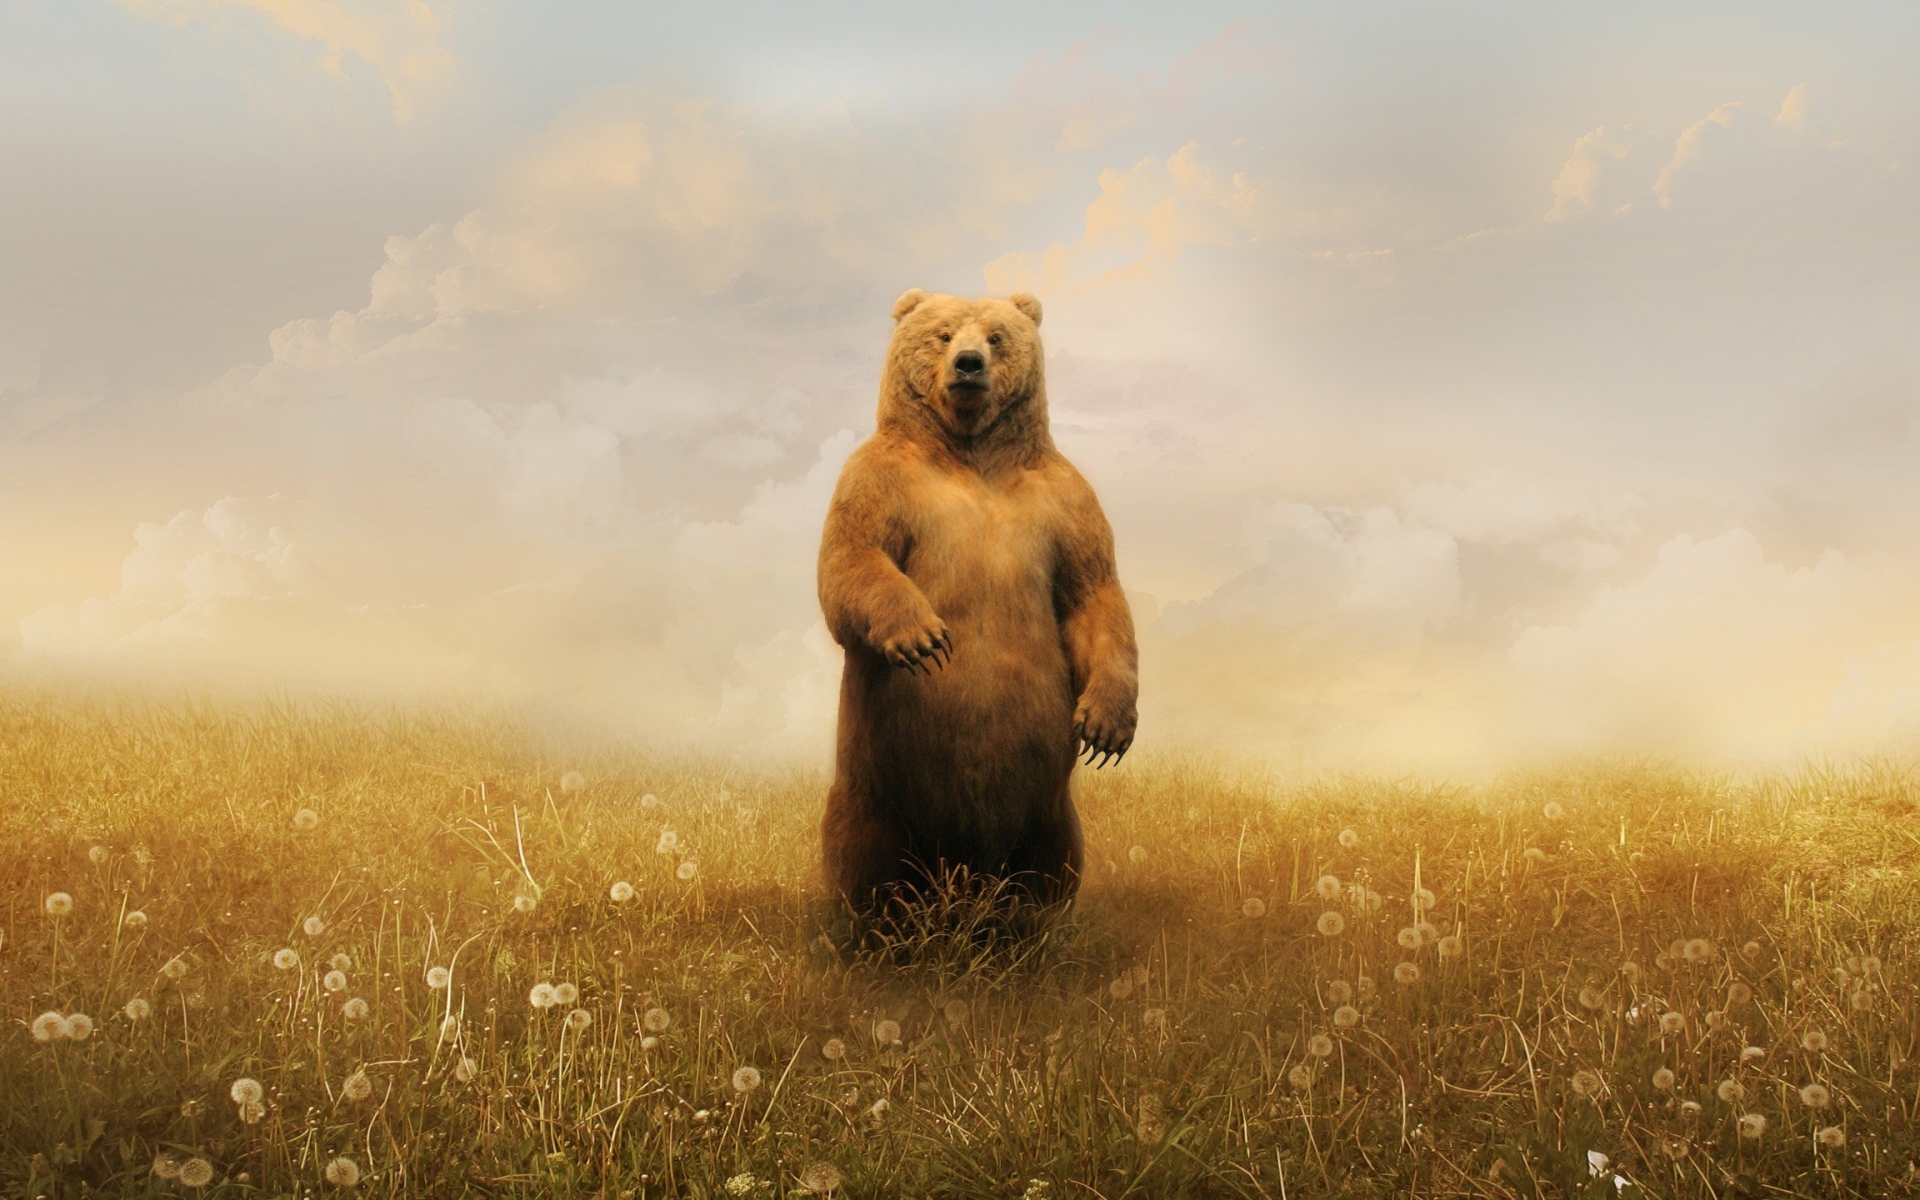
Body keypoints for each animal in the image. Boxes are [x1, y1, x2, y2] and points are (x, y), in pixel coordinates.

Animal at [816, 288, 1139, 918]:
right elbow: (851, 559)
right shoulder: (880, 479)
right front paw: (925, 638)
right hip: (875, 790)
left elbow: (1093, 592)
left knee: (1050, 865)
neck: (970, 450)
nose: (968, 365)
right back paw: (878, 929)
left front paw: (1107, 727)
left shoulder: (1064, 501)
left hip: (1047, 809)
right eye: (942, 334)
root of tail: (963, 873)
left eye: (996, 336)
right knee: (865, 861)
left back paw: (1027, 925)